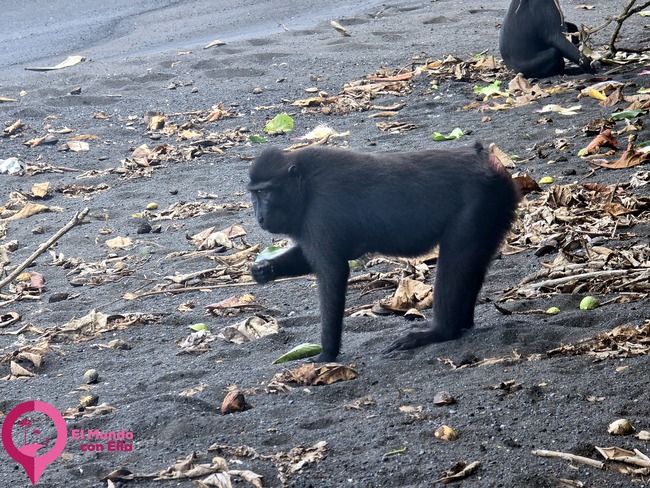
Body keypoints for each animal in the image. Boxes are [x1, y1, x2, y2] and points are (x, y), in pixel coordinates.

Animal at [248, 143, 518, 362]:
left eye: (265, 192)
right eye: (254, 194)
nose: (259, 217)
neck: (305, 187)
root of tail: (487, 160)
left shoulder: (319, 214)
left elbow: (333, 272)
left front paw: (327, 354)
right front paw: (264, 270)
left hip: (476, 206)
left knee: (456, 263)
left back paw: (441, 331)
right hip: (496, 206)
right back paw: (463, 324)